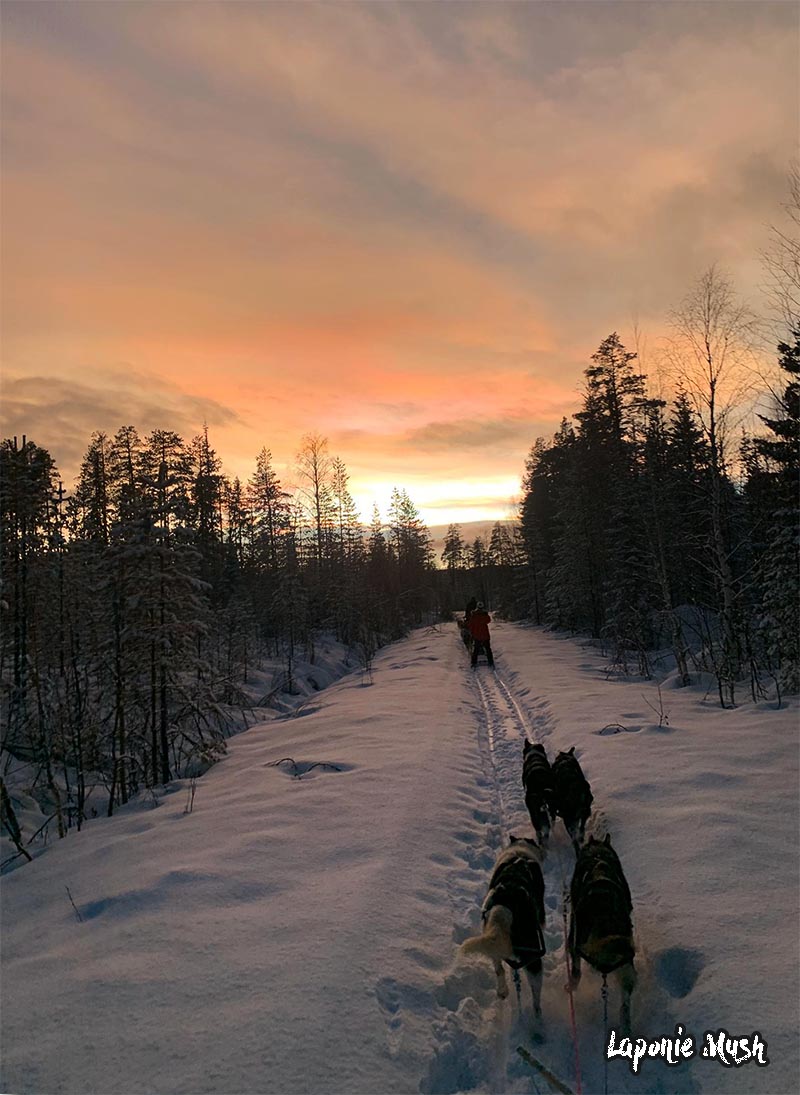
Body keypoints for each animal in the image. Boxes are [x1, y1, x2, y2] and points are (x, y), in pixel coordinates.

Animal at [459, 836, 547, 1016]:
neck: (519, 853)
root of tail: (506, 904)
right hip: (533, 955)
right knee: (536, 995)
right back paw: (537, 1017)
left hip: (491, 935)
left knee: (499, 968)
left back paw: (503, 991)